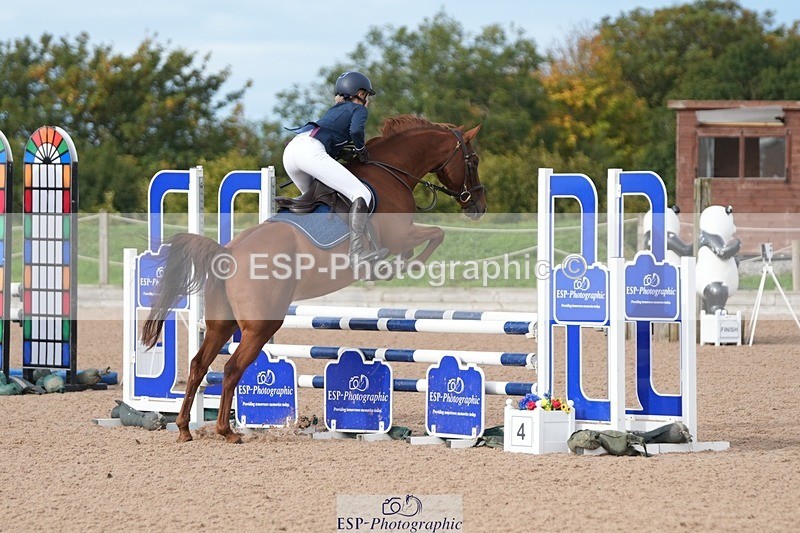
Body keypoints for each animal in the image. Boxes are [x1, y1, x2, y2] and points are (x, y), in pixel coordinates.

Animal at [142, 115, 487, 443]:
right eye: (473, 160)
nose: (479, 207)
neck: (391, 172)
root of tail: (226, 253)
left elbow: (430, 237)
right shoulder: (401, 235)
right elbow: (435, 234)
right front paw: (403, 265)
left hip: (221, 324)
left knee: (199, 365)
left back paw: (185, 428)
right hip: (261, 326)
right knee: (230, 368)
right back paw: (227, 431)